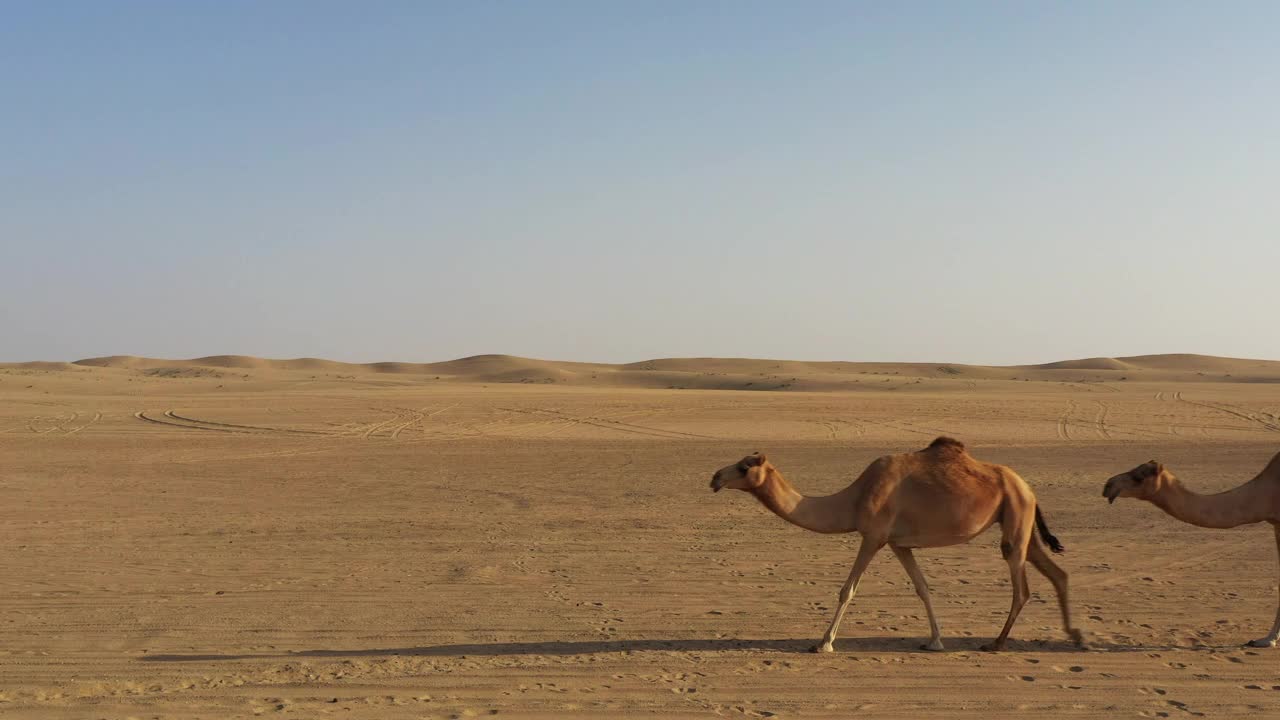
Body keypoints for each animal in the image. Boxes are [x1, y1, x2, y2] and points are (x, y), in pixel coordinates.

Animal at [711, 435, 1080, 653]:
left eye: (743, 467)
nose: (714, 477)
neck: (854, 498)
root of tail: (1028, 487)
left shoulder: (873, 536)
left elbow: (847, 590)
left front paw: (824, 643)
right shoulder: (899, 544)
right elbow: (923, 588)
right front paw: (935, 640)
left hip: (1015, 516)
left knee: (1022, 587)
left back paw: (996, 643)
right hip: (1020, 519)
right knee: (1057, 573)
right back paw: (1077, 635)